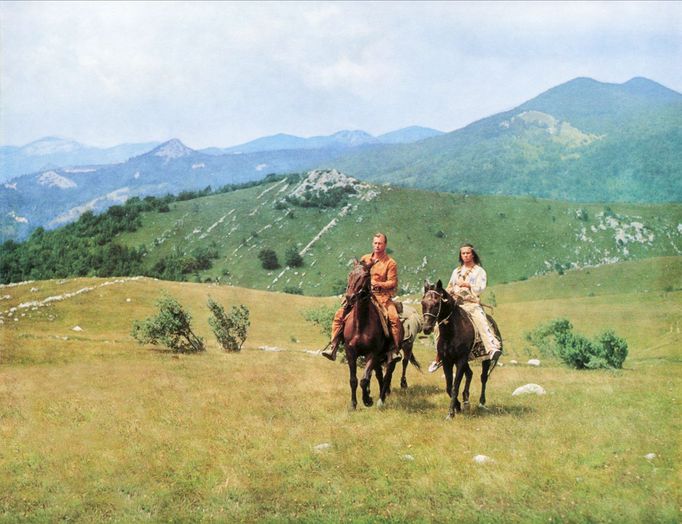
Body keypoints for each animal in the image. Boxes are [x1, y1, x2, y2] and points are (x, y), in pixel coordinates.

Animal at [342, 258, 396, 410]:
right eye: (350, 274)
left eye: (366, 275)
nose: (350, 297)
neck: (361, 324)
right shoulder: (350, 352)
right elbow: (353, 380)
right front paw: (353, 404)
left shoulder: (372, 353)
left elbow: (364, 379)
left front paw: (367, 400)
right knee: (378, 375)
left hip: (387, 356)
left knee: (386, 375)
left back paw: (381, 399)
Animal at [420, 280, 500, 420]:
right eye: (423, 303)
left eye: (436, 303)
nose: (426, 328)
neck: (452, 331)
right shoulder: (447, 361)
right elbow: (449, 386)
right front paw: (457, 406)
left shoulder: (460, 360)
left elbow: (454, 387)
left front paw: (450, 413)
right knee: (470, 374)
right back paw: (466, 401)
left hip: (484, 359)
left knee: (483, 377)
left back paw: (481, 402)